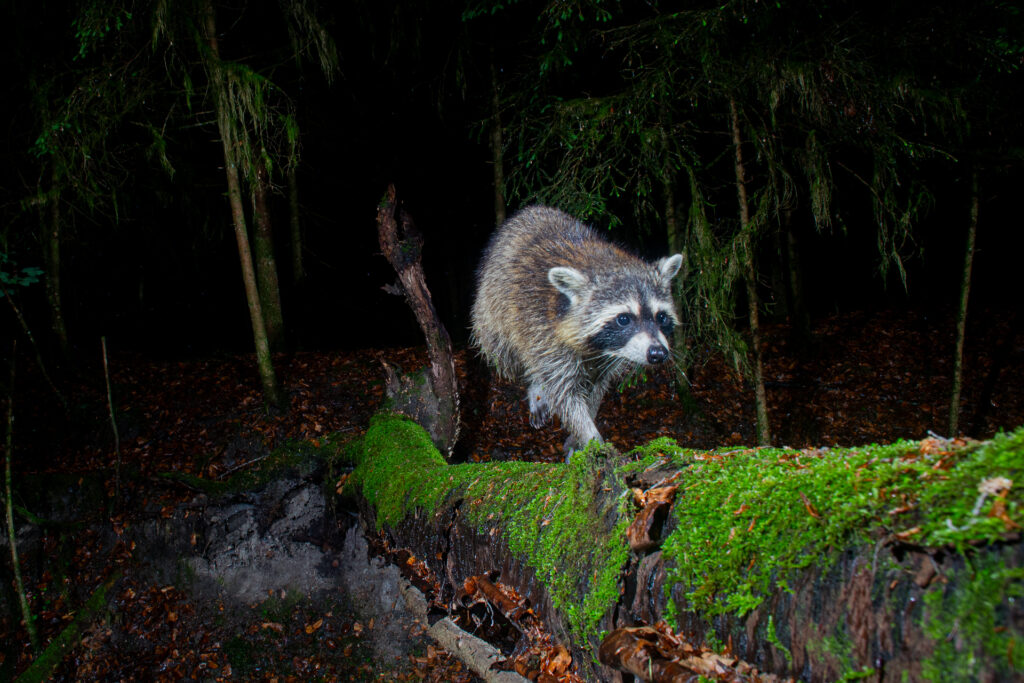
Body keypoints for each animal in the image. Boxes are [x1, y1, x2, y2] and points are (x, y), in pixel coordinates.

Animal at [470, 205, 684, 456]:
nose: (658, 353)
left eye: (661, 317)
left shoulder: (607, 358)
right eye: (623, 319)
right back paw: (534, 383)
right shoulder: (544, 333)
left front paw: (581, 435)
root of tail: (532, 209)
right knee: (510, 357)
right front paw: (592, 439)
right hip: (492, 314)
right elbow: (565, 394)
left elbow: (597, 388)